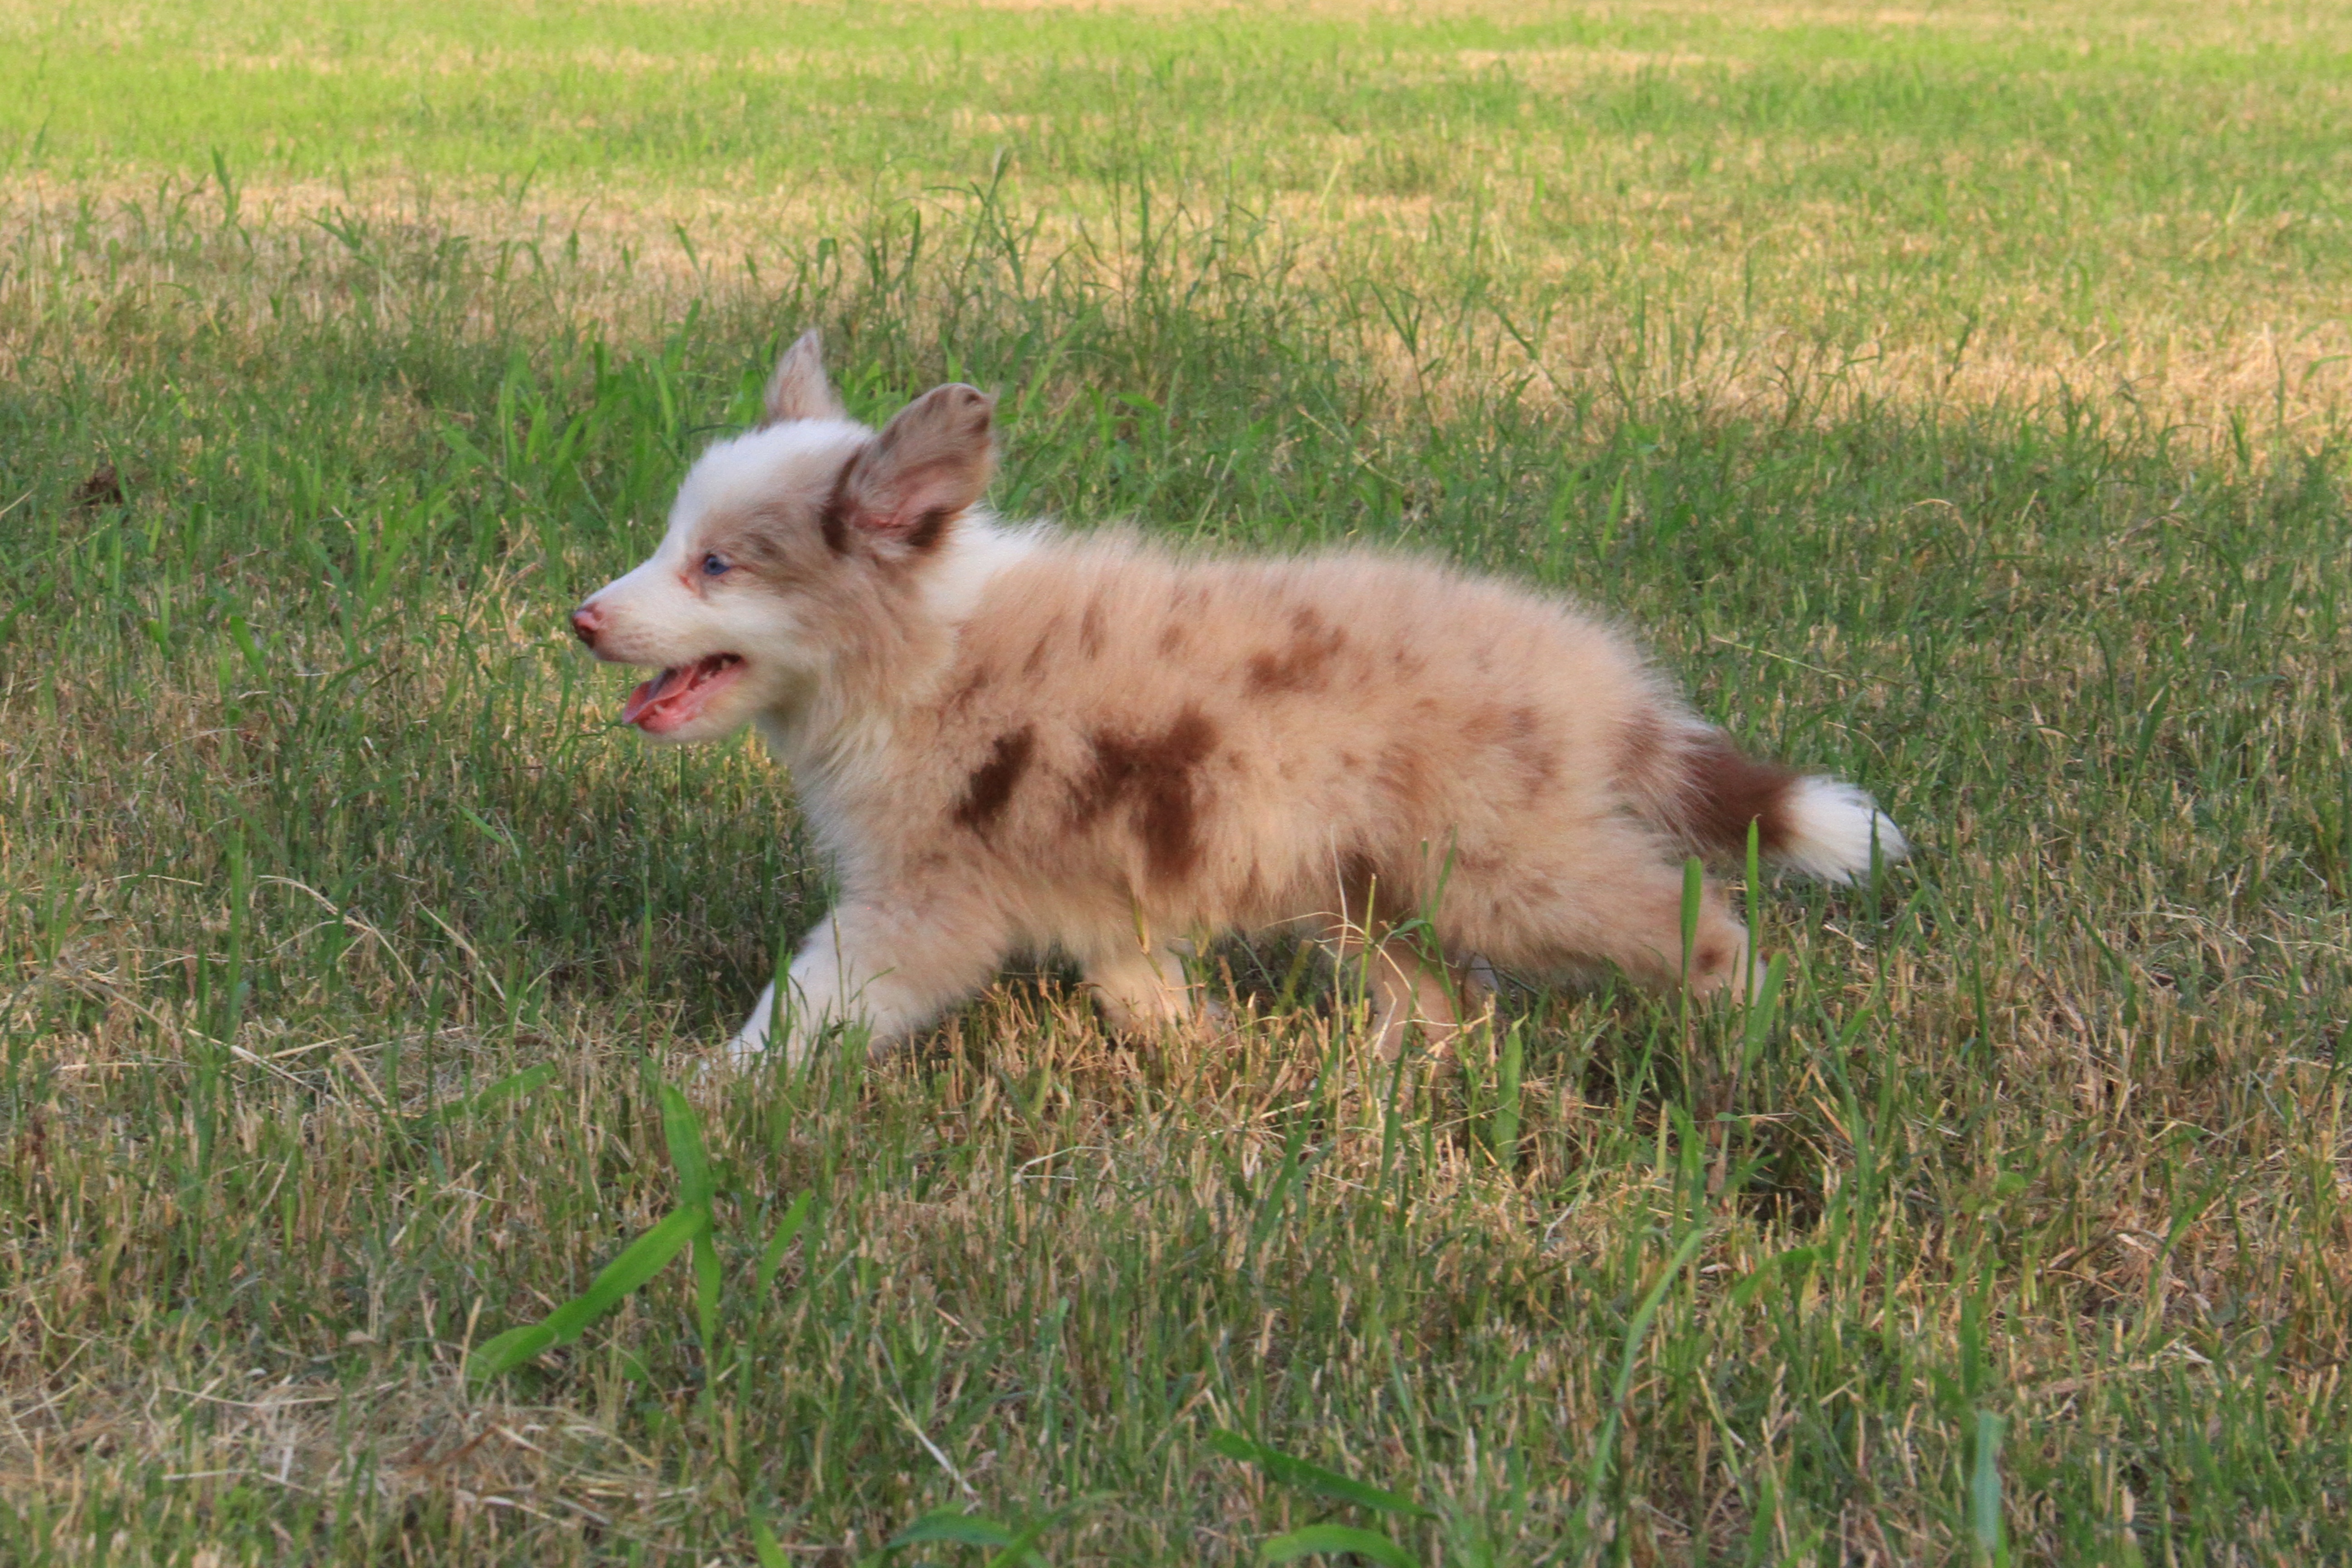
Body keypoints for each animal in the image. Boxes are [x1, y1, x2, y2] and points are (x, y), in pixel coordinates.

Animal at [573, 329, 1910, 1067]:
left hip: (1504, 869)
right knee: (1435, 995)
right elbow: (1133, 978)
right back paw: (1387, 1081)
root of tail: (1603, 687)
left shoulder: (922, 895)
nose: (583, 617)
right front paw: (1198, 1049)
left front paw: (712, 1087)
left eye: (717, 566)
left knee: (1691, 919)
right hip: (1359, 877)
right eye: (673, 544)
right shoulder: (1087, 874)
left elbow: (812, 999)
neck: (915, 648)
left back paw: (1748, 1019)